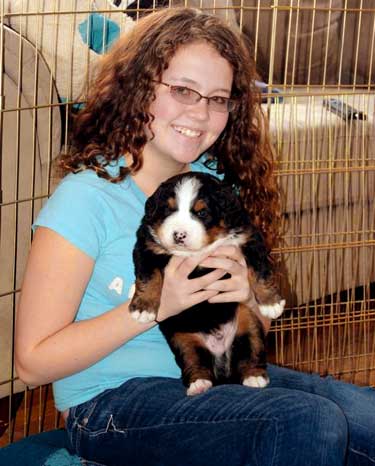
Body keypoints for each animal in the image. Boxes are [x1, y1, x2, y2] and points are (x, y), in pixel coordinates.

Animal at [129, 173, 284, 396]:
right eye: (168, 209)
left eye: (202, 212)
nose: (179, 235)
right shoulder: (146, 246)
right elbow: (148, 277)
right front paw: (143, 308)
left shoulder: (249, 239)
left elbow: (261, 272)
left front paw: (271, 303)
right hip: (183, 338)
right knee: (193, 361)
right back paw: (198, 384)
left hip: (248, 323)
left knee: (252, 350)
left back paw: (254, 376)